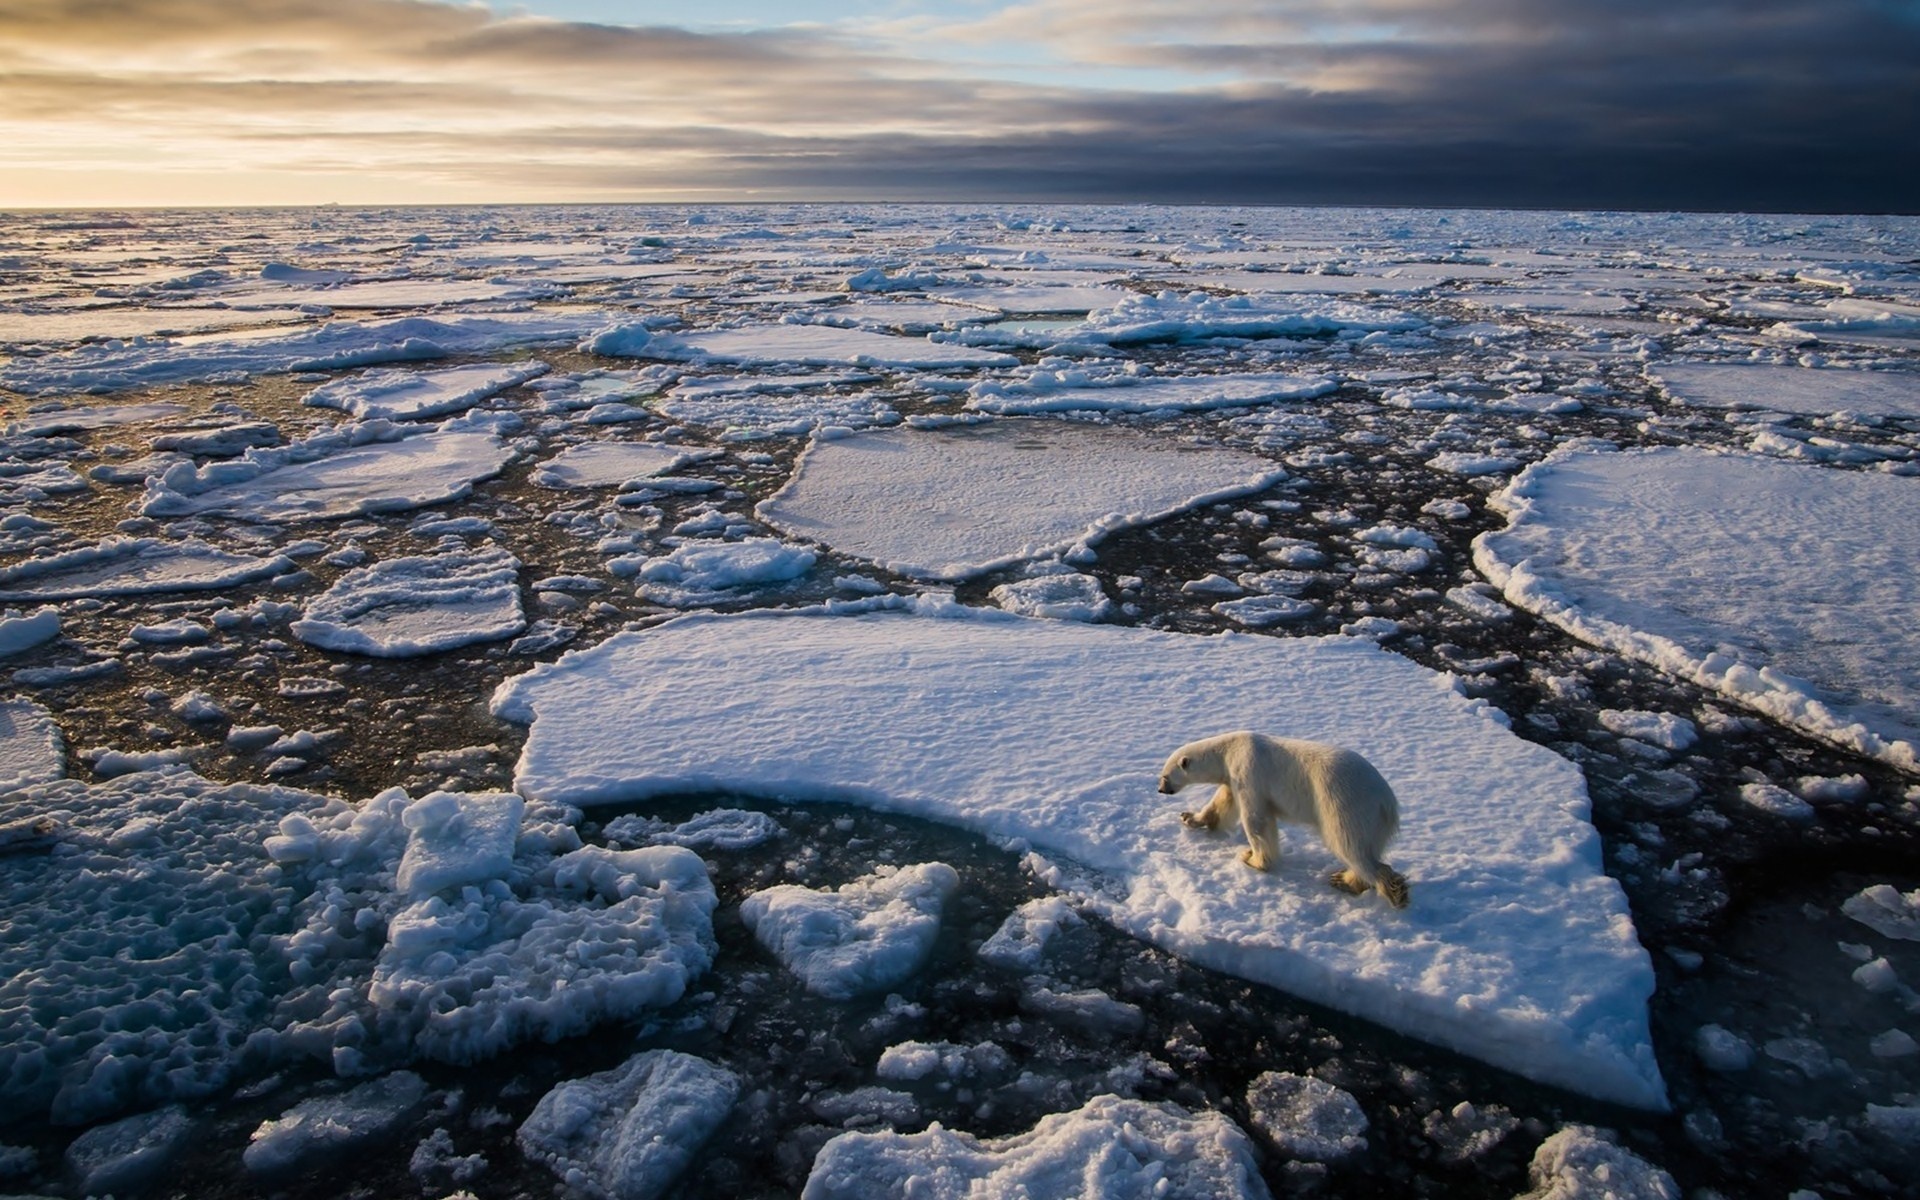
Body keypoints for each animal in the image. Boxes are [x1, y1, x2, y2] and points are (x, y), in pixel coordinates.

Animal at [1152, 729, 1413, 906]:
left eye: (1164, 776)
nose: (1160, 790)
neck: (1229, 750)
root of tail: (1387, 802)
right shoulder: (1232, 777)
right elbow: (1222, 802)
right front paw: (1189, 817)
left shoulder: (1248, 772)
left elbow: (1256, 819)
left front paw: (1253, 859)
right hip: (1372, 820)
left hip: (1345, 804)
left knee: (1349, 844)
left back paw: (1376, 886)